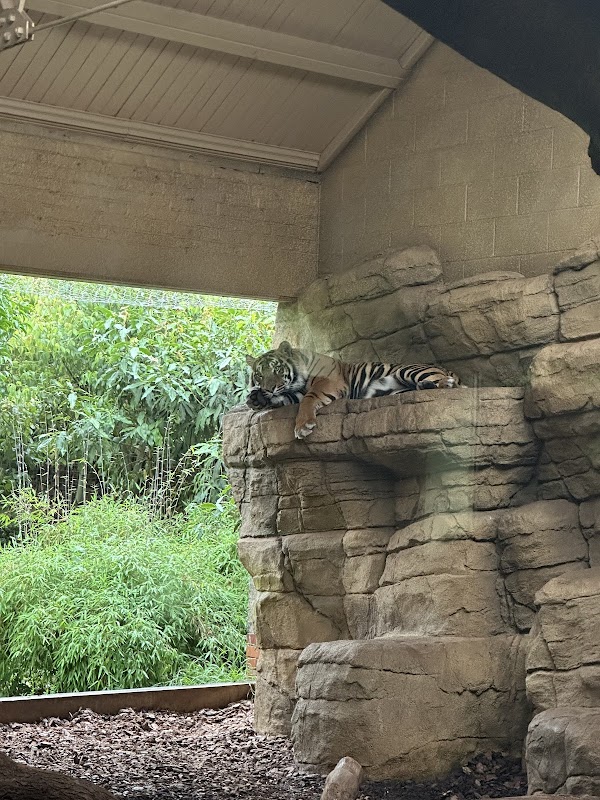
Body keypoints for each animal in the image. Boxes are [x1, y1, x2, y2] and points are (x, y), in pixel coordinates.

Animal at [246, 341, 461, 440]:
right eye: (259, 375)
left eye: (277, 369)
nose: (269, 388)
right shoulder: (295, 391)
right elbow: (289, 397)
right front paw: (256, 398)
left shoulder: (329, 381)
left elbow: (308, 398)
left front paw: (303, 426)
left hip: (408, 370)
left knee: (454, 386)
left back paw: (444, 383)